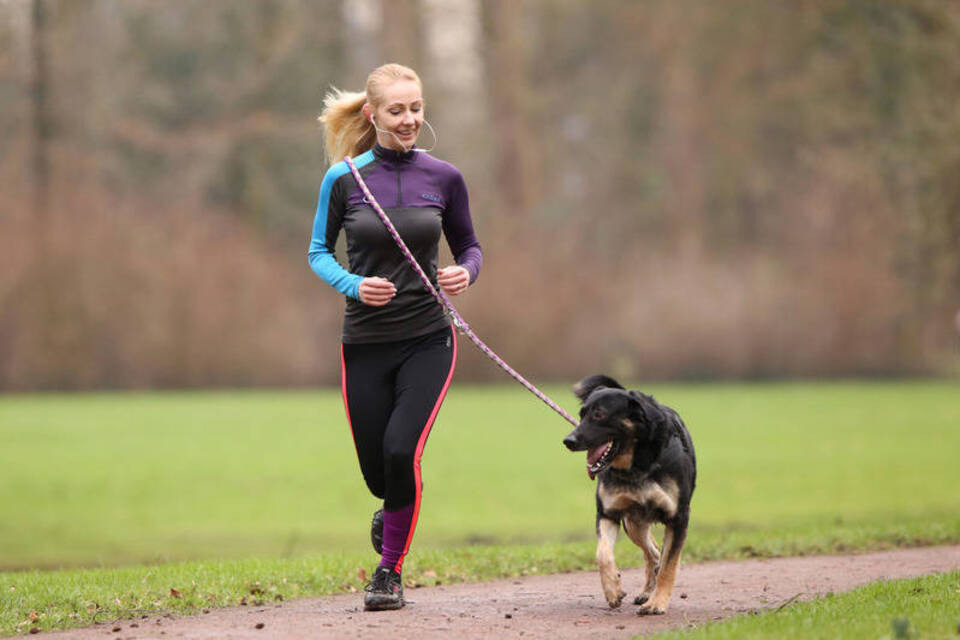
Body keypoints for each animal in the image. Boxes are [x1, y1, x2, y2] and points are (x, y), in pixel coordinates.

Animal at [564, 376, 696, 616]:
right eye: (581, 414)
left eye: (599, 414)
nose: (568, 441)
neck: (636, 465)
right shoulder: (608, 513)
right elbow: (603, 553)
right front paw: (613, 590)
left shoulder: (679, 518)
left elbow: (669, 565)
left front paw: (657, 603)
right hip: (634, 523)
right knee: (653, 553)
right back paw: (645, 592)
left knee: (659, 557)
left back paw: (650, 595)